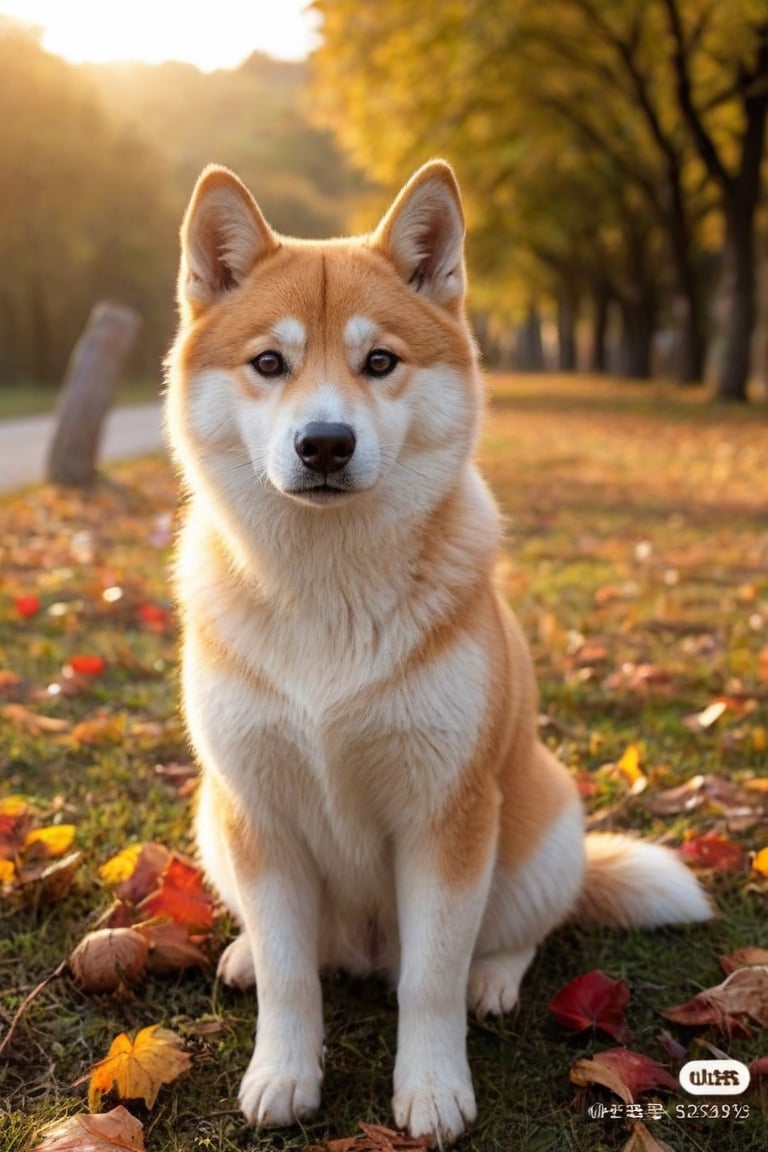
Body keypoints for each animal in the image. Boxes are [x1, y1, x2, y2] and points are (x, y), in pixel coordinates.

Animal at [163, 160, 713, 1142]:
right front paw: (282, 1073)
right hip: (214, 819)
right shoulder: (257, 808)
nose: (326, 442)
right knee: (296, 951)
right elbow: (292, 979)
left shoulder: (446, 817)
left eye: (380, 362)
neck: (330, 593)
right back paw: (242, 955)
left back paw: (493, 980)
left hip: (541, 826)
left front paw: (431, 1090)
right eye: (270, 363)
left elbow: (430, 979)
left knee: (511, 937)